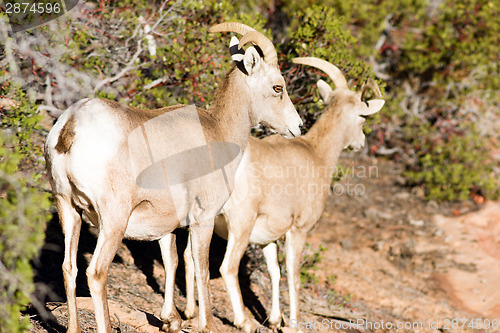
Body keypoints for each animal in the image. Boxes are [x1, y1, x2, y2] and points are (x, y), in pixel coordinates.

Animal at [45, 23, 300, 332]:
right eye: (278, 87)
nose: (298, 126)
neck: (219, 131)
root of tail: (71, 126)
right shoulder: (204, 219)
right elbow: (202, 269)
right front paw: (207, 324)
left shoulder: (166, 226)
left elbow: (172, 260)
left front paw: (171, 319)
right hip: (113, 221)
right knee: (96, 273)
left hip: (68, 208)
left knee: (69, 268)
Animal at [182, 56, 384, 330]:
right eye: (363, 118)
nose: (360, 142)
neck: (316, 153)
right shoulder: (298, 230)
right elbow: (293, 277)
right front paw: (294, 324)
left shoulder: (268, 237)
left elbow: (274, 272)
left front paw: (276, 320)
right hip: (239, 225)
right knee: (228, 268)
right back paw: (243, 322)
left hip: (202, 221)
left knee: (189, 257)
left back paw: (189, 312)